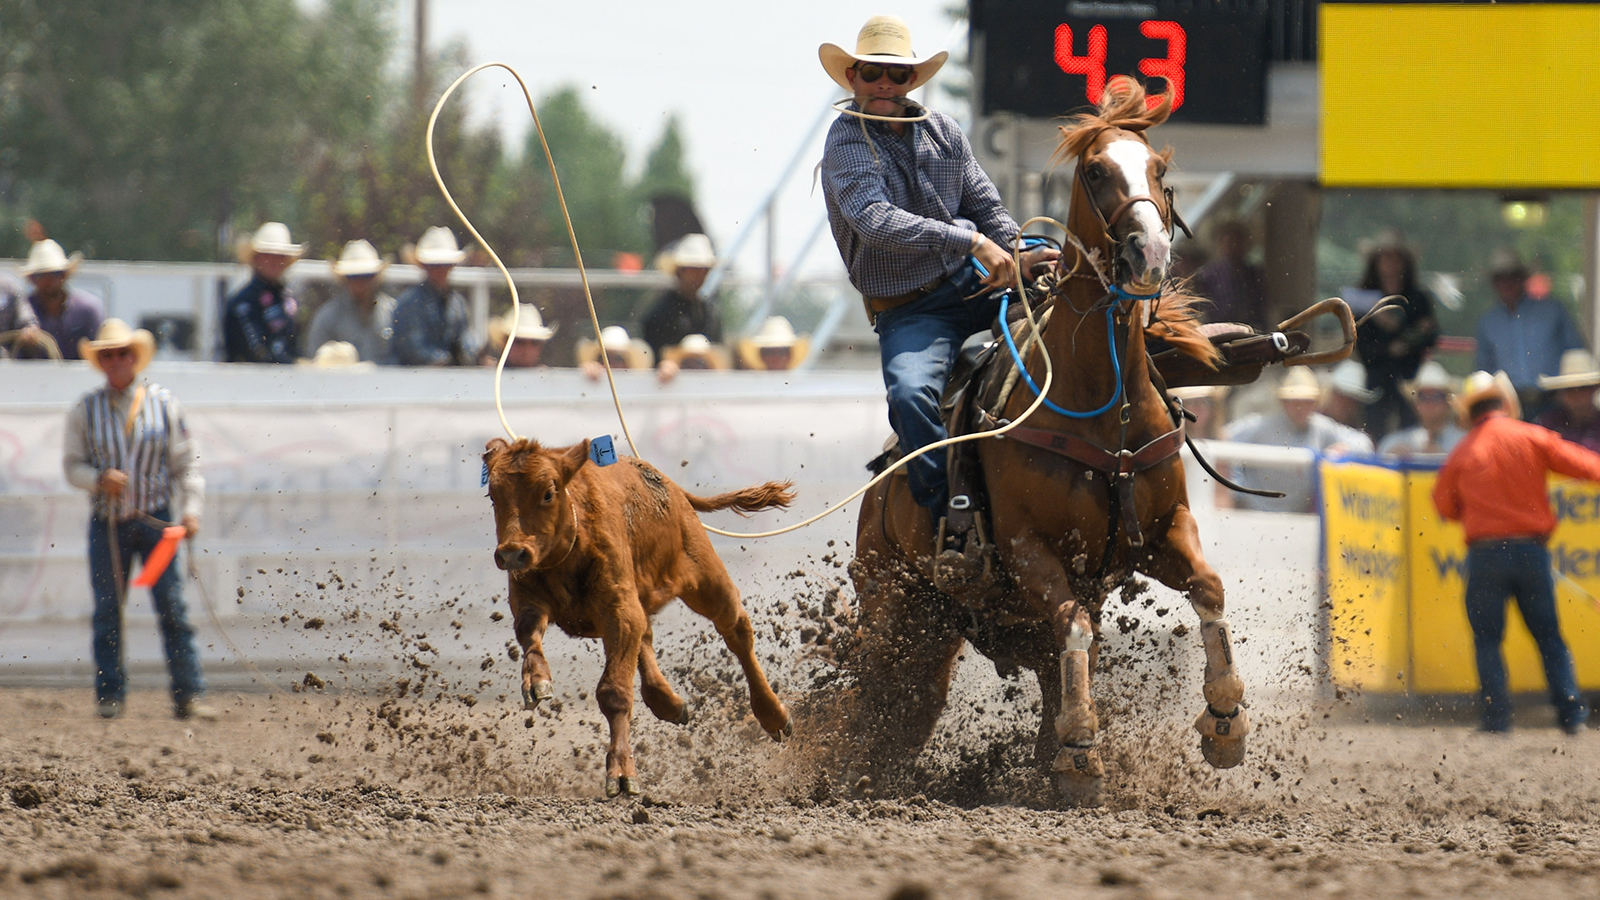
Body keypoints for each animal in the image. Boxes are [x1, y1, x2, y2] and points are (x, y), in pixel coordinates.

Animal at [480, 435, 793, 791]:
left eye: (548, 492)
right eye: (493, 495)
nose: (511, 554)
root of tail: (674, 489)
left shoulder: (619, 610)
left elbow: (614, 691)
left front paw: (621, 772)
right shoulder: (529, 598)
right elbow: (528, 633)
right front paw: (537, 681)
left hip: (706, 580)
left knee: (737, 631)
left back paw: (774, 715)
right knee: (646, 637)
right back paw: (670, 703)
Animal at [844, 80, 1241, 800]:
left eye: (1159, 171)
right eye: (1097, 171)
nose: (1149, 255)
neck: (1103, 405)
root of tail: (879, 487)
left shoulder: (1165, 528)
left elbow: (1209, 590)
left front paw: (1226, 721)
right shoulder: (1030, 550)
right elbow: (1075, 625)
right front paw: (1082, 751)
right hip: (892, 604)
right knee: (871, 693)